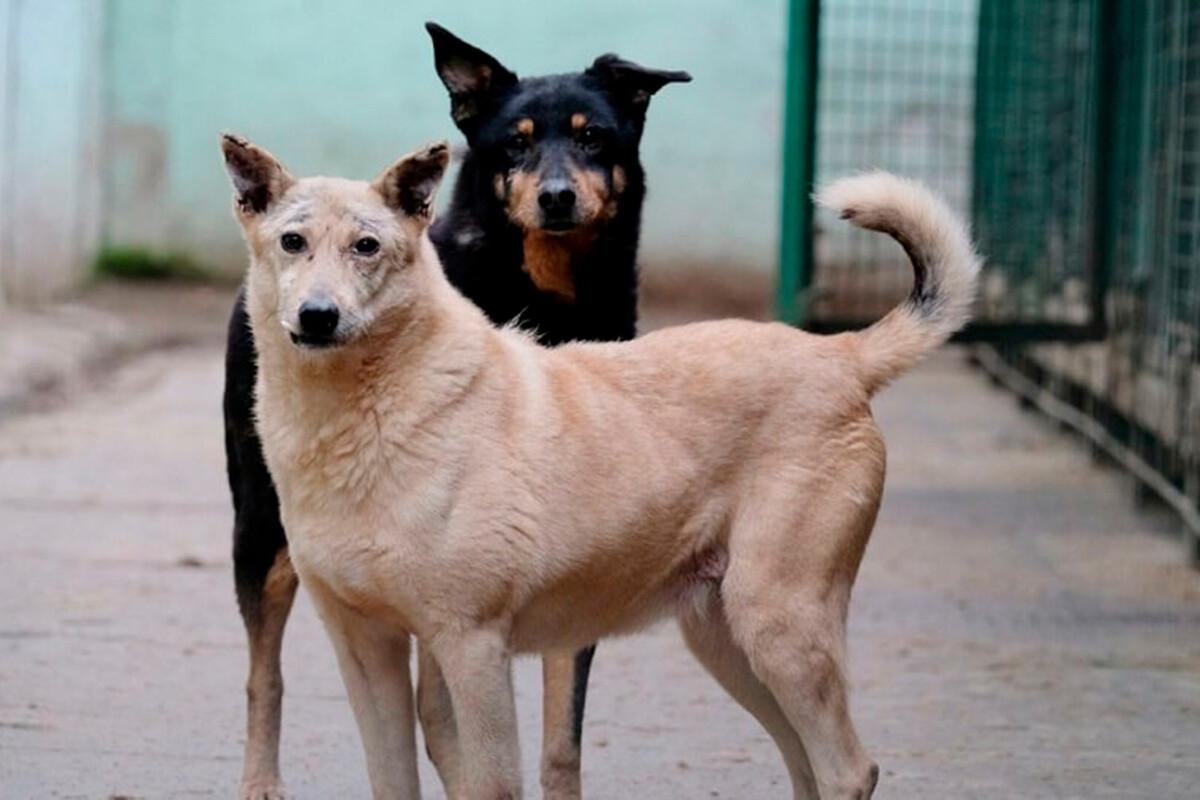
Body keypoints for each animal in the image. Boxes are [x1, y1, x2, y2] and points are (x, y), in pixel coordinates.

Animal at [220, 133, 979, 800]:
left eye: (367, 247)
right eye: (292, 242)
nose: (318, 316)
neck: (366, 414)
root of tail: (840, 354)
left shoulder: (472, 646)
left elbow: (492, 783)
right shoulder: (366, 648)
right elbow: (391, 781)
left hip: (780, 625)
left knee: (849, 770)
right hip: (729, 643)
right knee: (808, 768)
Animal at [225, 21, 691, 796]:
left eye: (595, 137)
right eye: (515, 144)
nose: (557, 197)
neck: (546, 297)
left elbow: (560, 736)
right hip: (260, 532)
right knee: (266, 675)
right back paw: (261, 779)